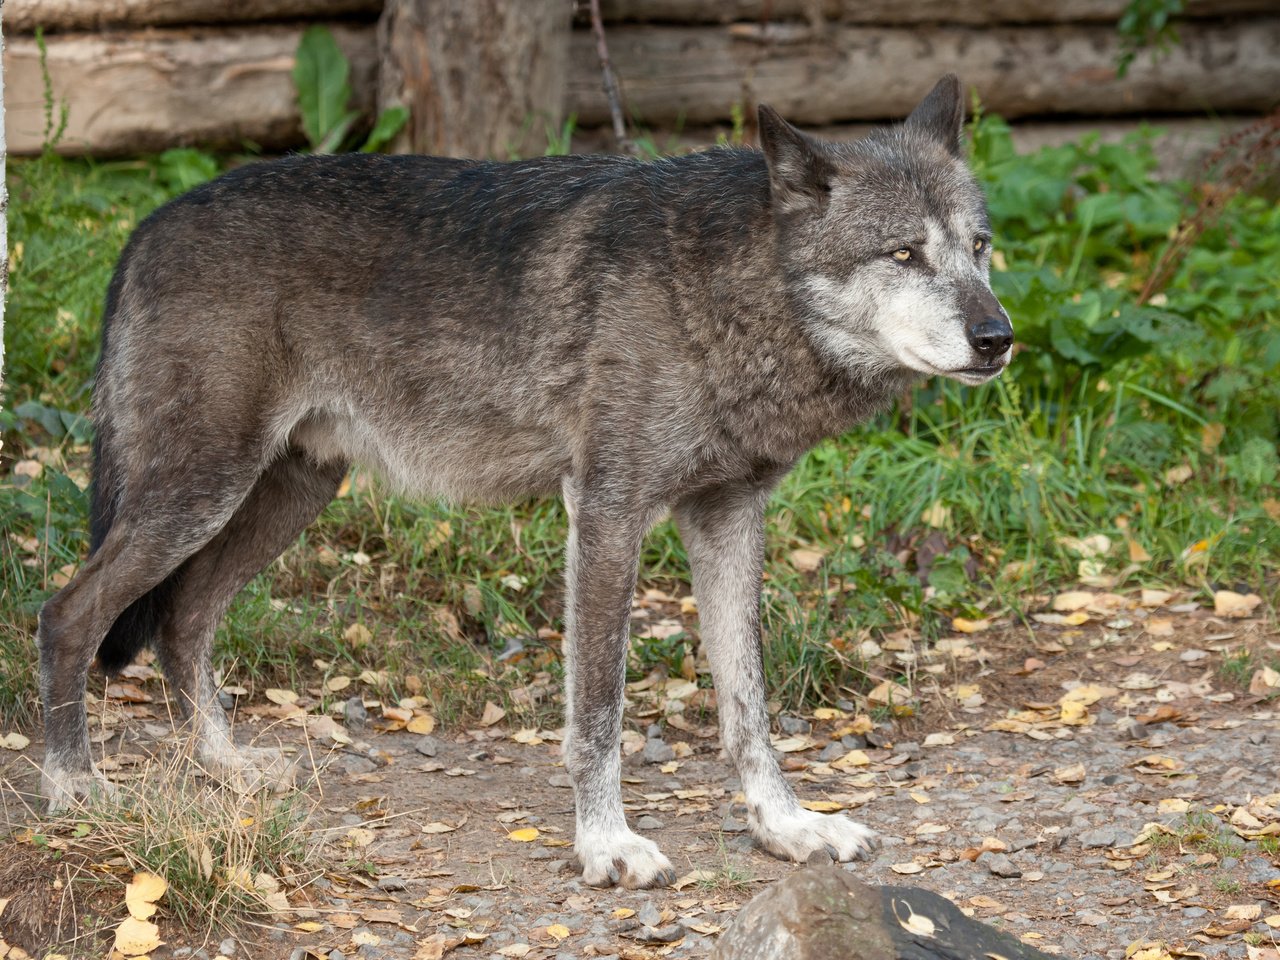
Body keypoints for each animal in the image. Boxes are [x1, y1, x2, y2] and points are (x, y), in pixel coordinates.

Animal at [37, 73, 1008, 885]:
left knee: (184, 615)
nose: (998, 337)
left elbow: (749, 707)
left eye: (979, 247)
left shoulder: (728, 517)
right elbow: (599, 712)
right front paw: (608, 844)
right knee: (69, 613)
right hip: (200, 493)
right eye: (903, 255)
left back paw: (226, 766)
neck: (727, 294)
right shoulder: (608, 512)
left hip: (286, 495)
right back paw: (72, 787)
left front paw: (787, 826)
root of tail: (145, 227)